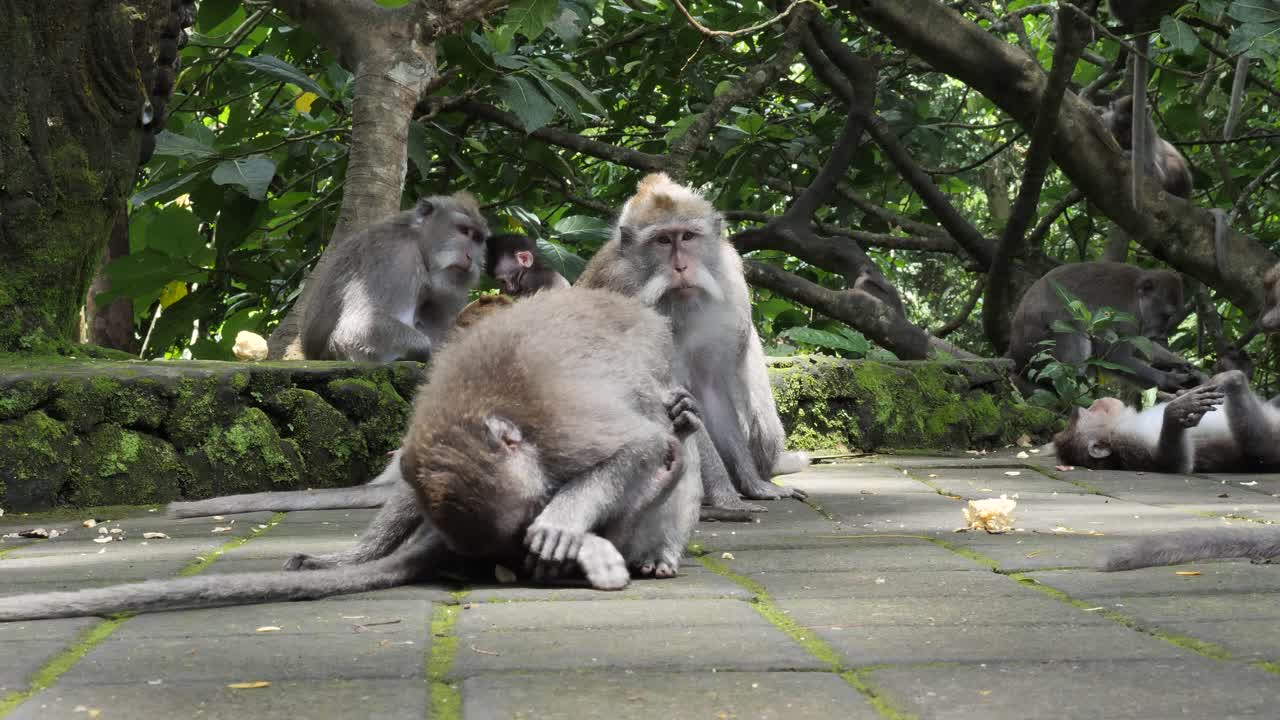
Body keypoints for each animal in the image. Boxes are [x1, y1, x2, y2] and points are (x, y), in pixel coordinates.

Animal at [0, 289, 705, 621]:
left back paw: (650, 551)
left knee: (677, 446)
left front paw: (559, 527)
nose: (514, 555)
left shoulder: (556, 423)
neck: (477, 406)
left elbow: (648, 446)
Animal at [301, 193, 488, 362]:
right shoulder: (396, 258)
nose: (470, 257)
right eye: (464, 231)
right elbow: (359, 325)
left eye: (477, 239)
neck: (417, 240)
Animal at [576, 173, 810, 520]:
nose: (681, 268)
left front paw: (755, 487)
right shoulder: (623, 291)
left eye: (687, 237)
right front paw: (727, 500)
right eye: (662, 241)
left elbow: (712, 390)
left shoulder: (730, 282)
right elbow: (672, 392)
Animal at [1007, 262, 1201, 393]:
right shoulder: (1126, 314)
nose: (1161, 332)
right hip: (1040, 347)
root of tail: (1015, 351)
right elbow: (1115, 357)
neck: (1137, 296)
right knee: (1073, 330)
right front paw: (1167, 379)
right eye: (1165, 316)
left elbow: (1142, 345)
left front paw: (1179, 362)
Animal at [1054, 369, 1280, 473]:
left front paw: (1178, 394)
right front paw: (1176, 411)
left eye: (1084, 411)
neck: (1120, 424)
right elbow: (1176, 464)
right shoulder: (1128, 442)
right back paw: (1230, 379)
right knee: (1257, 447)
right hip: (1269, 447)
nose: (1095, 402)